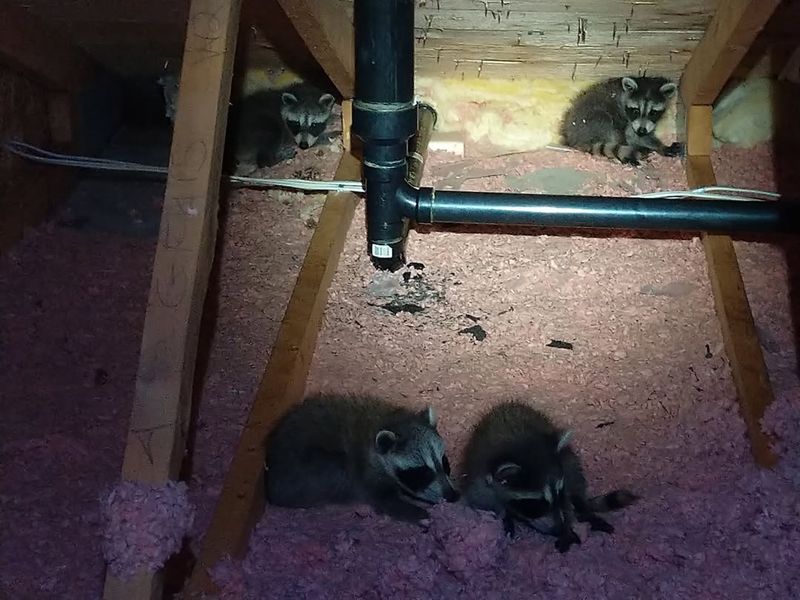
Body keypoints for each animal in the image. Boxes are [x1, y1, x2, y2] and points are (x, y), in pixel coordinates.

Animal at [264, 392, 459, 524]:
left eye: (445, 463)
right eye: (422, 473)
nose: (453, 496)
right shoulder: (365, 472)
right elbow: (382, 500)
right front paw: (417, 513)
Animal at [461, 401, 639, 553]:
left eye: (559, 493)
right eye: (535, 504)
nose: (559, 528)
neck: (519, 443)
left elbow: (566, 502)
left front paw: (567, 527)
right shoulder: (478, 476)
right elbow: (482, 501)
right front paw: (506, 517)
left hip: (567, 458)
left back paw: (585, 511)